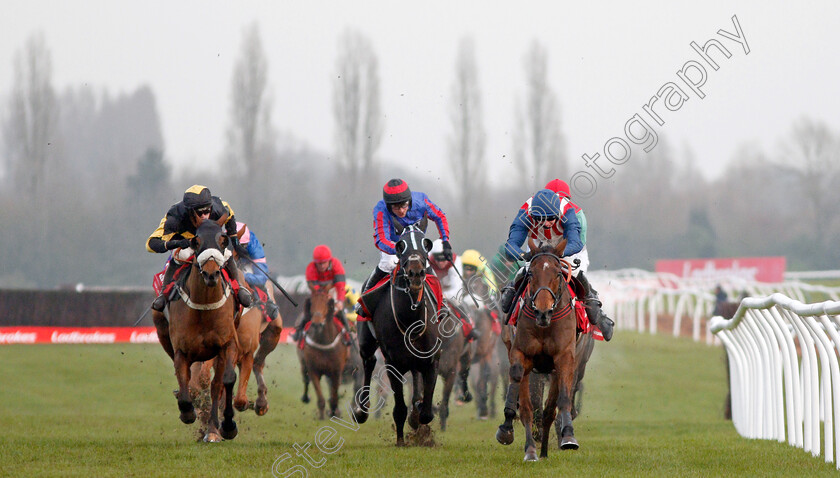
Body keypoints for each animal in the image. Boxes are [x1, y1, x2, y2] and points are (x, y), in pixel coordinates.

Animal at [352, 226, 442, 446]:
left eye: (425, 244)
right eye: (401, 246)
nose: (416, 272)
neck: (410, 321)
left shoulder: (432, 359)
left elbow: (426, 412)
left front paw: (417, 415)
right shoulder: (392, 363)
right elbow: (400, 408)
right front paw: (401, 440)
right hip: (366, 341)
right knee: (368, 362)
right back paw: (361, 411)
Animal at [496, 239, 580, 460]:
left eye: (558, 273)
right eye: (531, 273)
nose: (543, 312)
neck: (544, 326)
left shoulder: (564, 357)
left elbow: (562, 400)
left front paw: (569, 436)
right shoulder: (521, 353)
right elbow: (524, 403)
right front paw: (509, 431)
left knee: (549, 410)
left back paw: (544, 451)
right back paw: (534, 450)